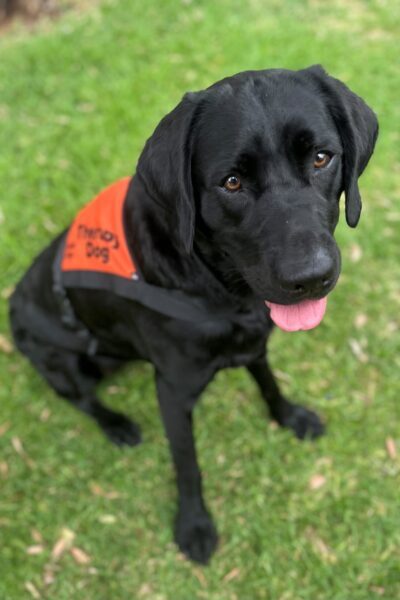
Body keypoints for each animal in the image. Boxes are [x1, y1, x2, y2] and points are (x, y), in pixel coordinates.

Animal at [9, 65, 378, 564]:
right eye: (232, 182)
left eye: (321, 158)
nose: (311, 277)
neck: (217, 285)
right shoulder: (172, 392)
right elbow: (188, 465)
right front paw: (194, 524)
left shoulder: (253, 341)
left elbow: (269, 382)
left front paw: (290, 417)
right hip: (62, 363)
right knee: (81, 399)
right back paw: (117, 425)